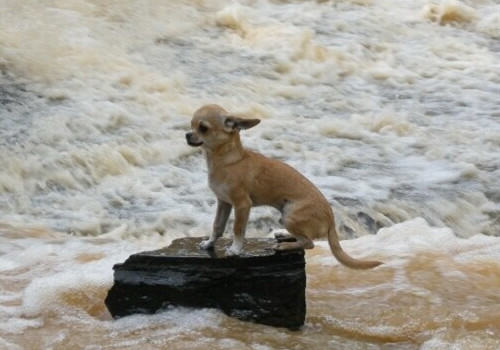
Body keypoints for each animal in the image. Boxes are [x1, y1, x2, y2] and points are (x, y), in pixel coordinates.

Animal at [187, 103, 382, 268]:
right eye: (191, 125)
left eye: (203, 128)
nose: (187, 134)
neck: (226, 160)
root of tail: (331, 220)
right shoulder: (224, 202)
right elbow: (217, 226)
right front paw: (209, 243)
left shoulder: (242, 205)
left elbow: (238, 229)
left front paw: (235, 249)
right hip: (285, 216)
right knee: (304, 239)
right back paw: (286, 236)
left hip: (289, 214)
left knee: (309, 243)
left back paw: (285, 246)